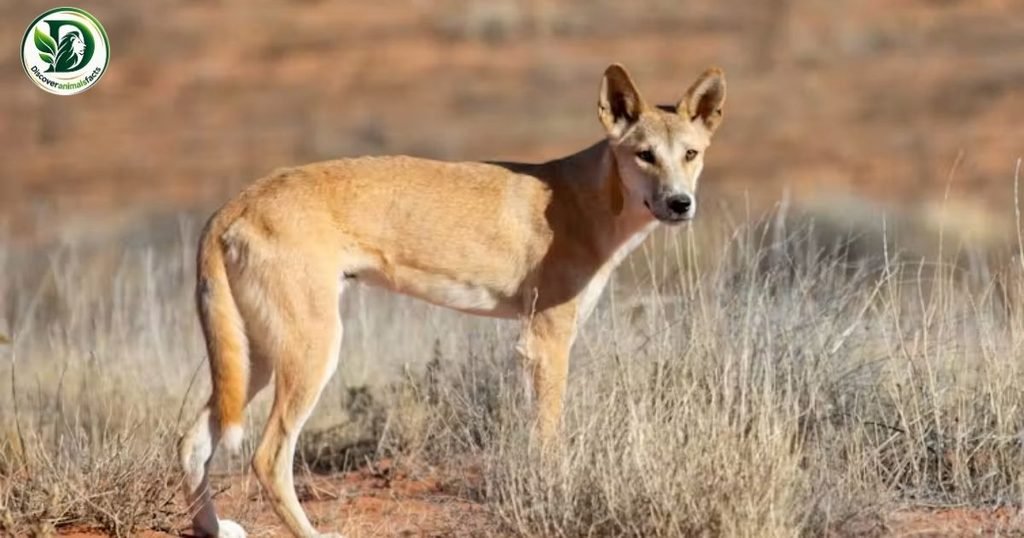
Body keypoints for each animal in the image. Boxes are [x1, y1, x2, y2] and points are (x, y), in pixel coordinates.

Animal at [178, 63, 725, 537]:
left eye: (691, 154)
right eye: (645, 154)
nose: (680, 203)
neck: (590, 200)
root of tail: (233, 203)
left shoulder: (534, 344)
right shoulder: (547, 342)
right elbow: (550, 440)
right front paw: (556, 493)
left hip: (258, 356)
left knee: (191, 440)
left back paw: (213, 528)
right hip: (311, 351)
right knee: (268, 457)